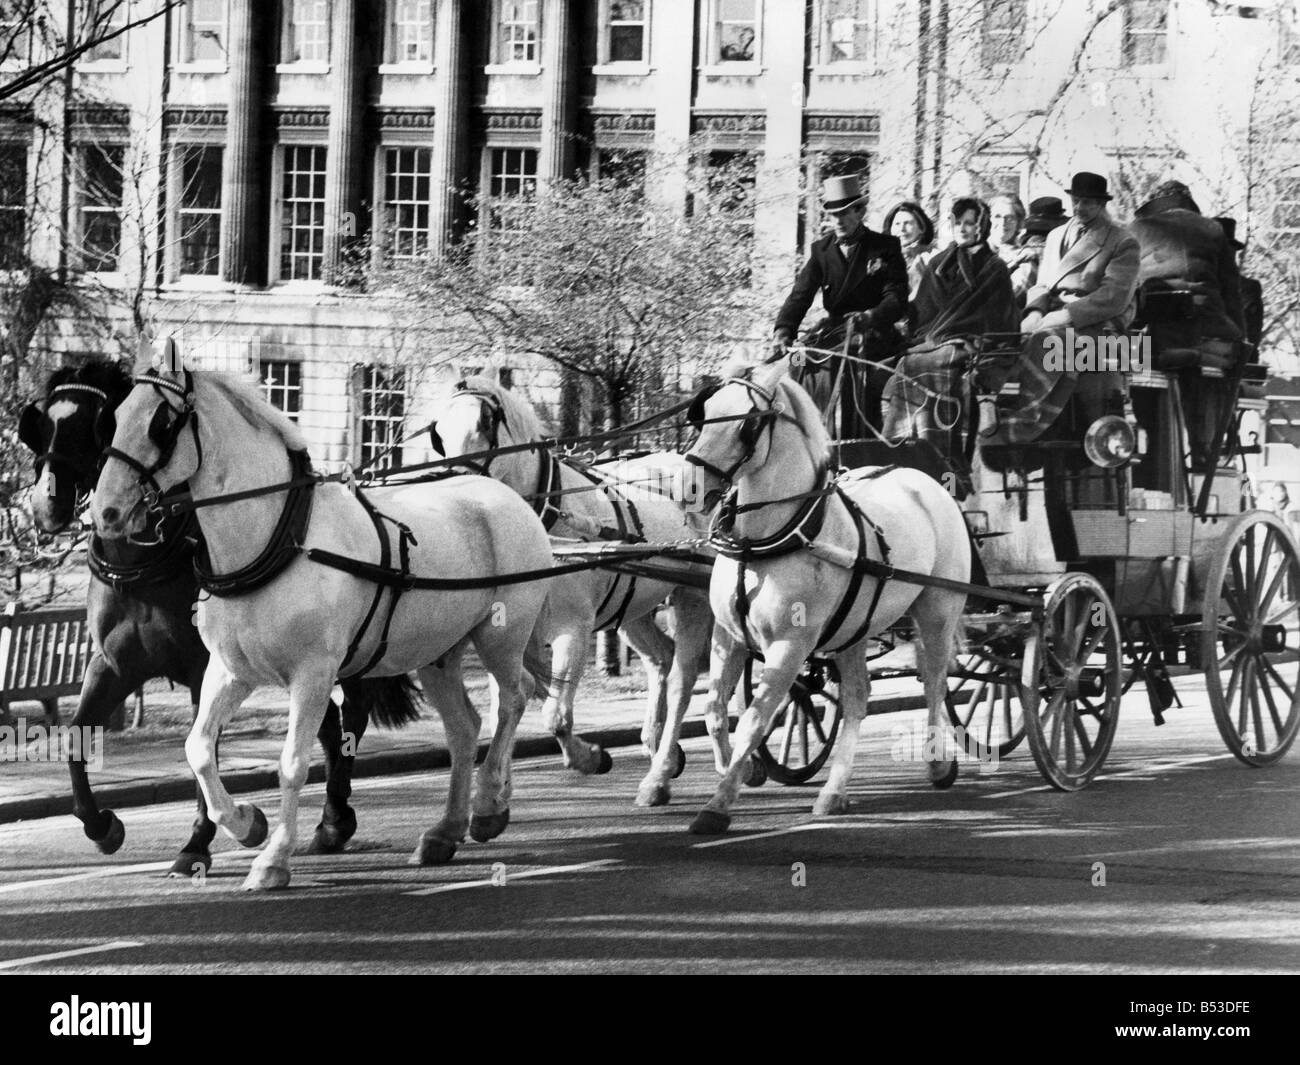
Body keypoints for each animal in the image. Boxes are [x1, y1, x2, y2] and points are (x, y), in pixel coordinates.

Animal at [19, 358, 416, 873]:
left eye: (95, 422)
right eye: (43, 423)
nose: (47, 503)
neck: (145, 563)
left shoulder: (202, 668)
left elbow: (203, 750)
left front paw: (199, 841)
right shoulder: (114, 665)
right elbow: (75, 739)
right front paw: (101, 825)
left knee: (351, 720)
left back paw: (334, 816)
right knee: (331, 726)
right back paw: (331, 823)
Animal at [91, 366, 553, 889]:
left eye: (161, 424)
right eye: (116, 416)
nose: (105, 511)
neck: (279, 539)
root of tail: (499, 492)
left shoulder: (313, 673)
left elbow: (293, 763)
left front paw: (273, 859)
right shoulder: (229, 670)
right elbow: (199, 749)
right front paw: (247, 824)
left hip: (501, 636)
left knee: (514, 699)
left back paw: (489, 804)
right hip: (437, 653)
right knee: (463, 727)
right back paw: (445, 831)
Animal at [426, 379, 733, 806]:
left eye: (485, 423)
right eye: (438, 433)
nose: (453, 485)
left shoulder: (571, 628)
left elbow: (555, 715)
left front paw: (589, 757)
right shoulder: (509, 632)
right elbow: (508, 700)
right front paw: (499, 789)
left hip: (694, 598)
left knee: (684, 682)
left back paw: (665, 774)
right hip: (633, 607)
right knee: (661, 659)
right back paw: (661, 753)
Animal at [686, 356, 972, 832]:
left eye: (747, 423)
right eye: (703, 413)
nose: (691, 487)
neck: (765, 540)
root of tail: (922, 478)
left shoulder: (791, 644)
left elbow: (753, 720)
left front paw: (718, 803)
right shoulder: (728, 637)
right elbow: (714, 712)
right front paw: (738, 770)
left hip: (937, 608)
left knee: (933, 681)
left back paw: (937, 763)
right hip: (854, 630)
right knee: (857, 699)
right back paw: (834, 792)